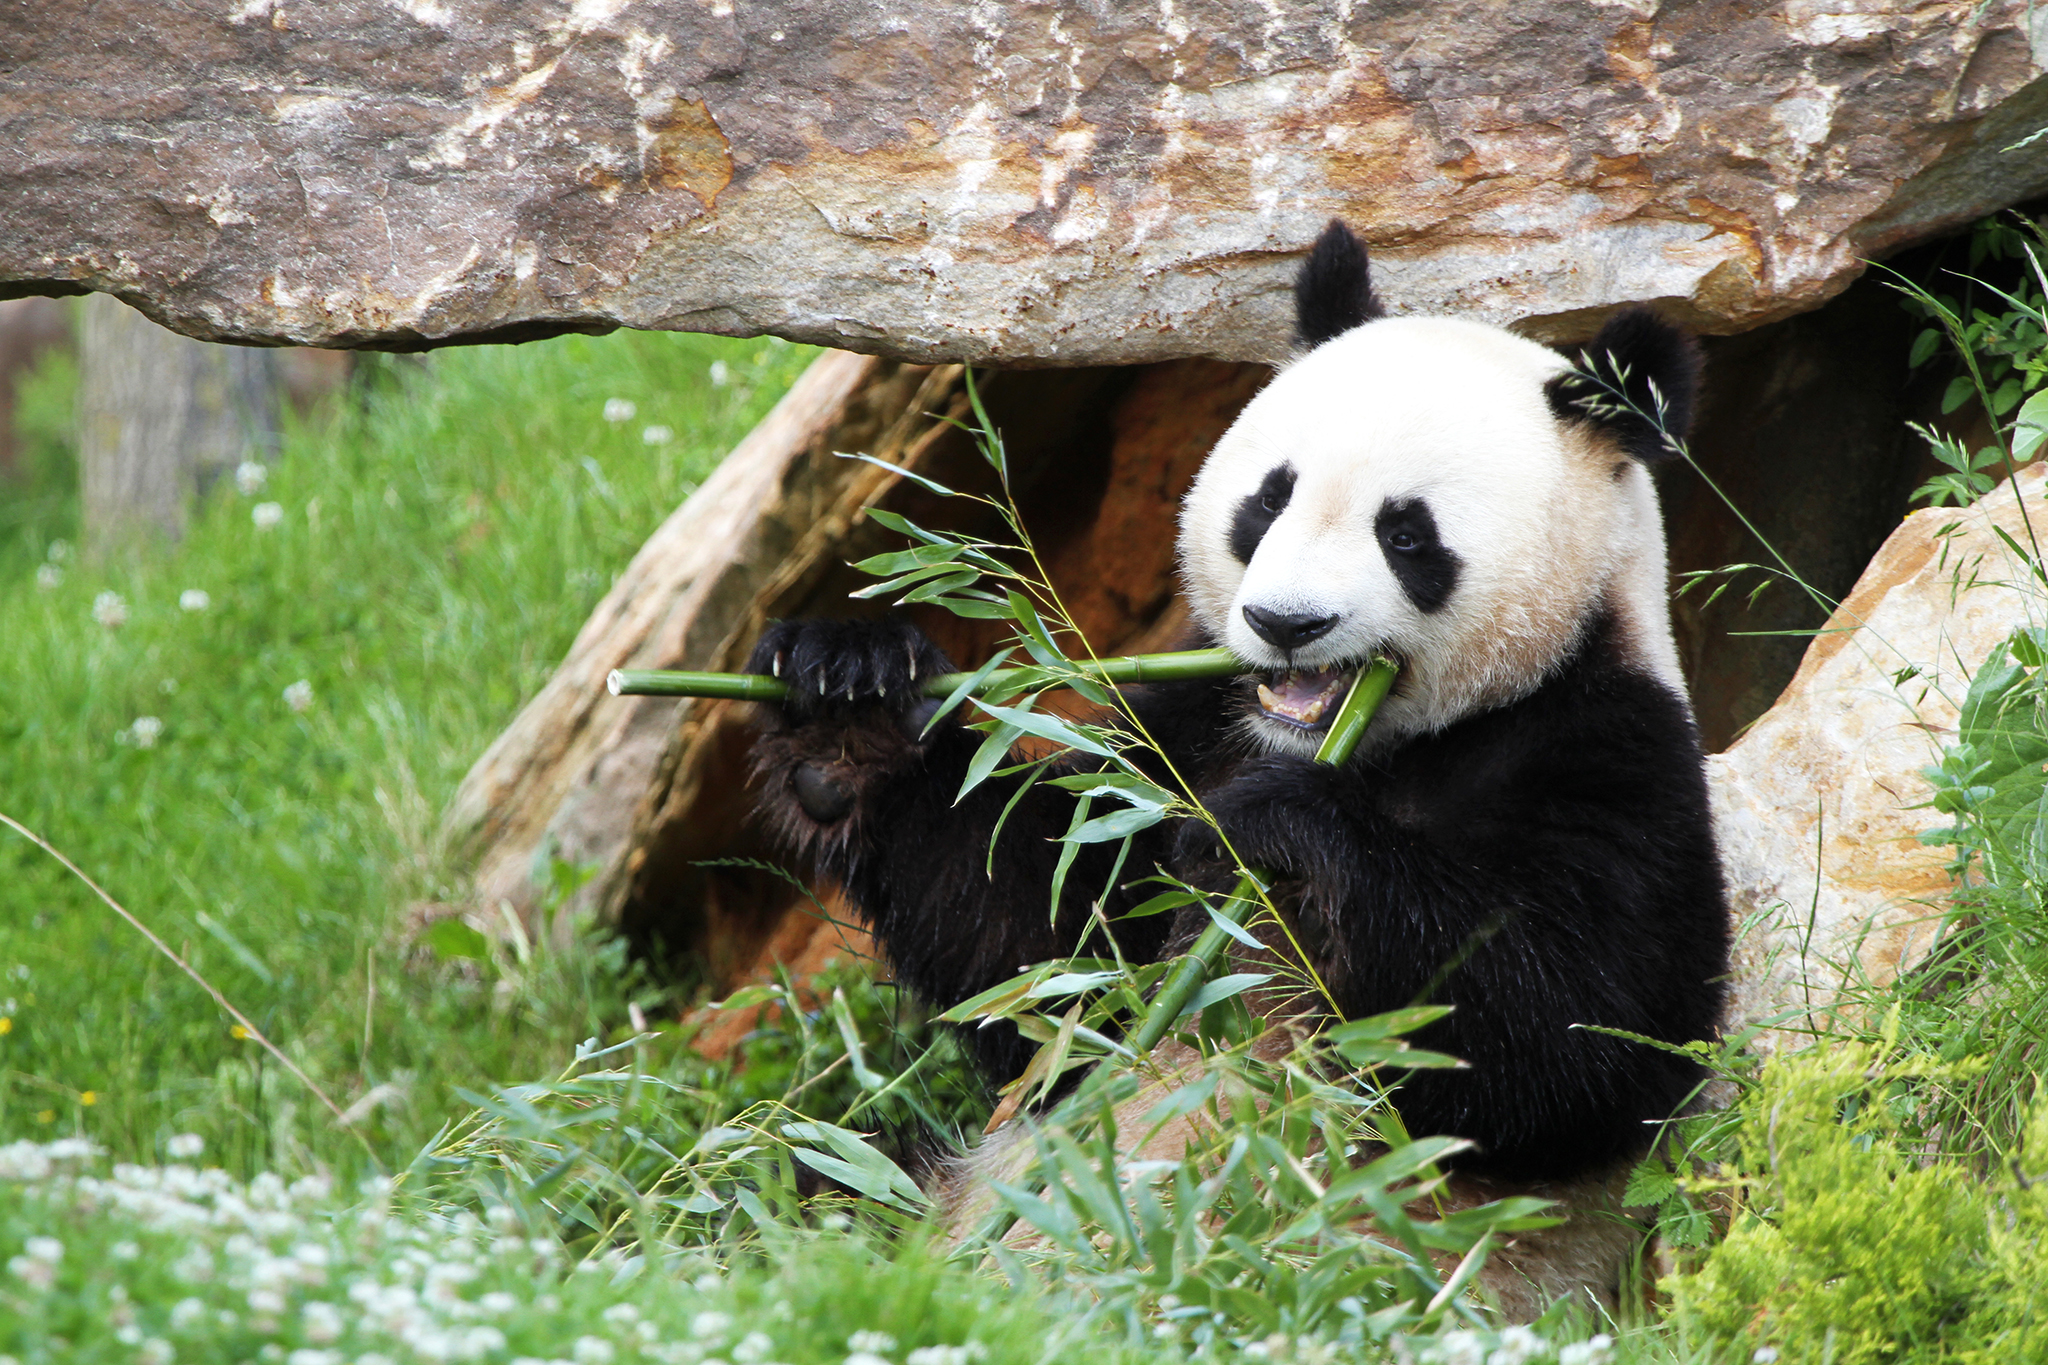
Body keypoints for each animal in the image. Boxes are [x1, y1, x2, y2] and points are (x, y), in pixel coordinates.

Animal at [745, 222, 1720, 1186]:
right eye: (1269, 498)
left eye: (1406, 534)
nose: (1285, 622)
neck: (1370, 745)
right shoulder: (1191, 730)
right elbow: (1041, 942)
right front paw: (849, 698)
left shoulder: (1604, 747)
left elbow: (1574, 1038)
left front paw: (1276, 826)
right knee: (813, 1181)